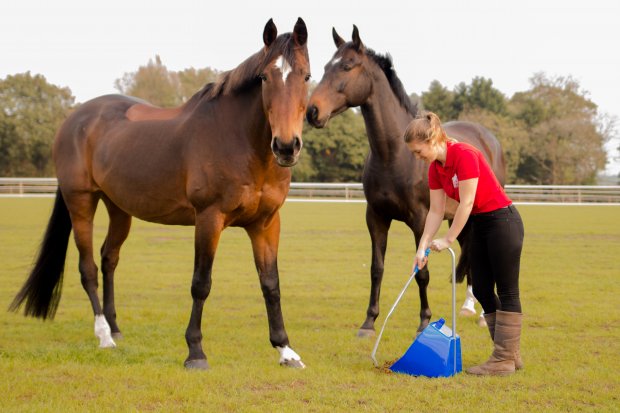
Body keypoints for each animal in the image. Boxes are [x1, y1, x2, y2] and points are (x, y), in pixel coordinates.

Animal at [13, 17, 314, 368]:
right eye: (265, 77)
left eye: (306, 76)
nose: (286, 146)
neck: (240, 140)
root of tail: (73, 120)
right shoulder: (209, 218)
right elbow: (201, 284)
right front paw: (195, 351)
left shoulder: (266, 223)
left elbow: (271, 284)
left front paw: (285, 349)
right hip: (81, 203)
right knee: (88, 268)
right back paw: (103, 336)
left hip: (119, 208)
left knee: (109, 258)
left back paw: (115, 328)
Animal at [308, 25, 506, 334]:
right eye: (327, 66)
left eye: (347, 66)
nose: (312, 111)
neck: (394, 156)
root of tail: (487, 138)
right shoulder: (376, 217)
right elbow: (376, 268)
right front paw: (369, 322)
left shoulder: (421, 220)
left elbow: (422, 272)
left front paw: (424, 320)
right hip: (459, 219)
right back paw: (467, 307)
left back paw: (481, 313)